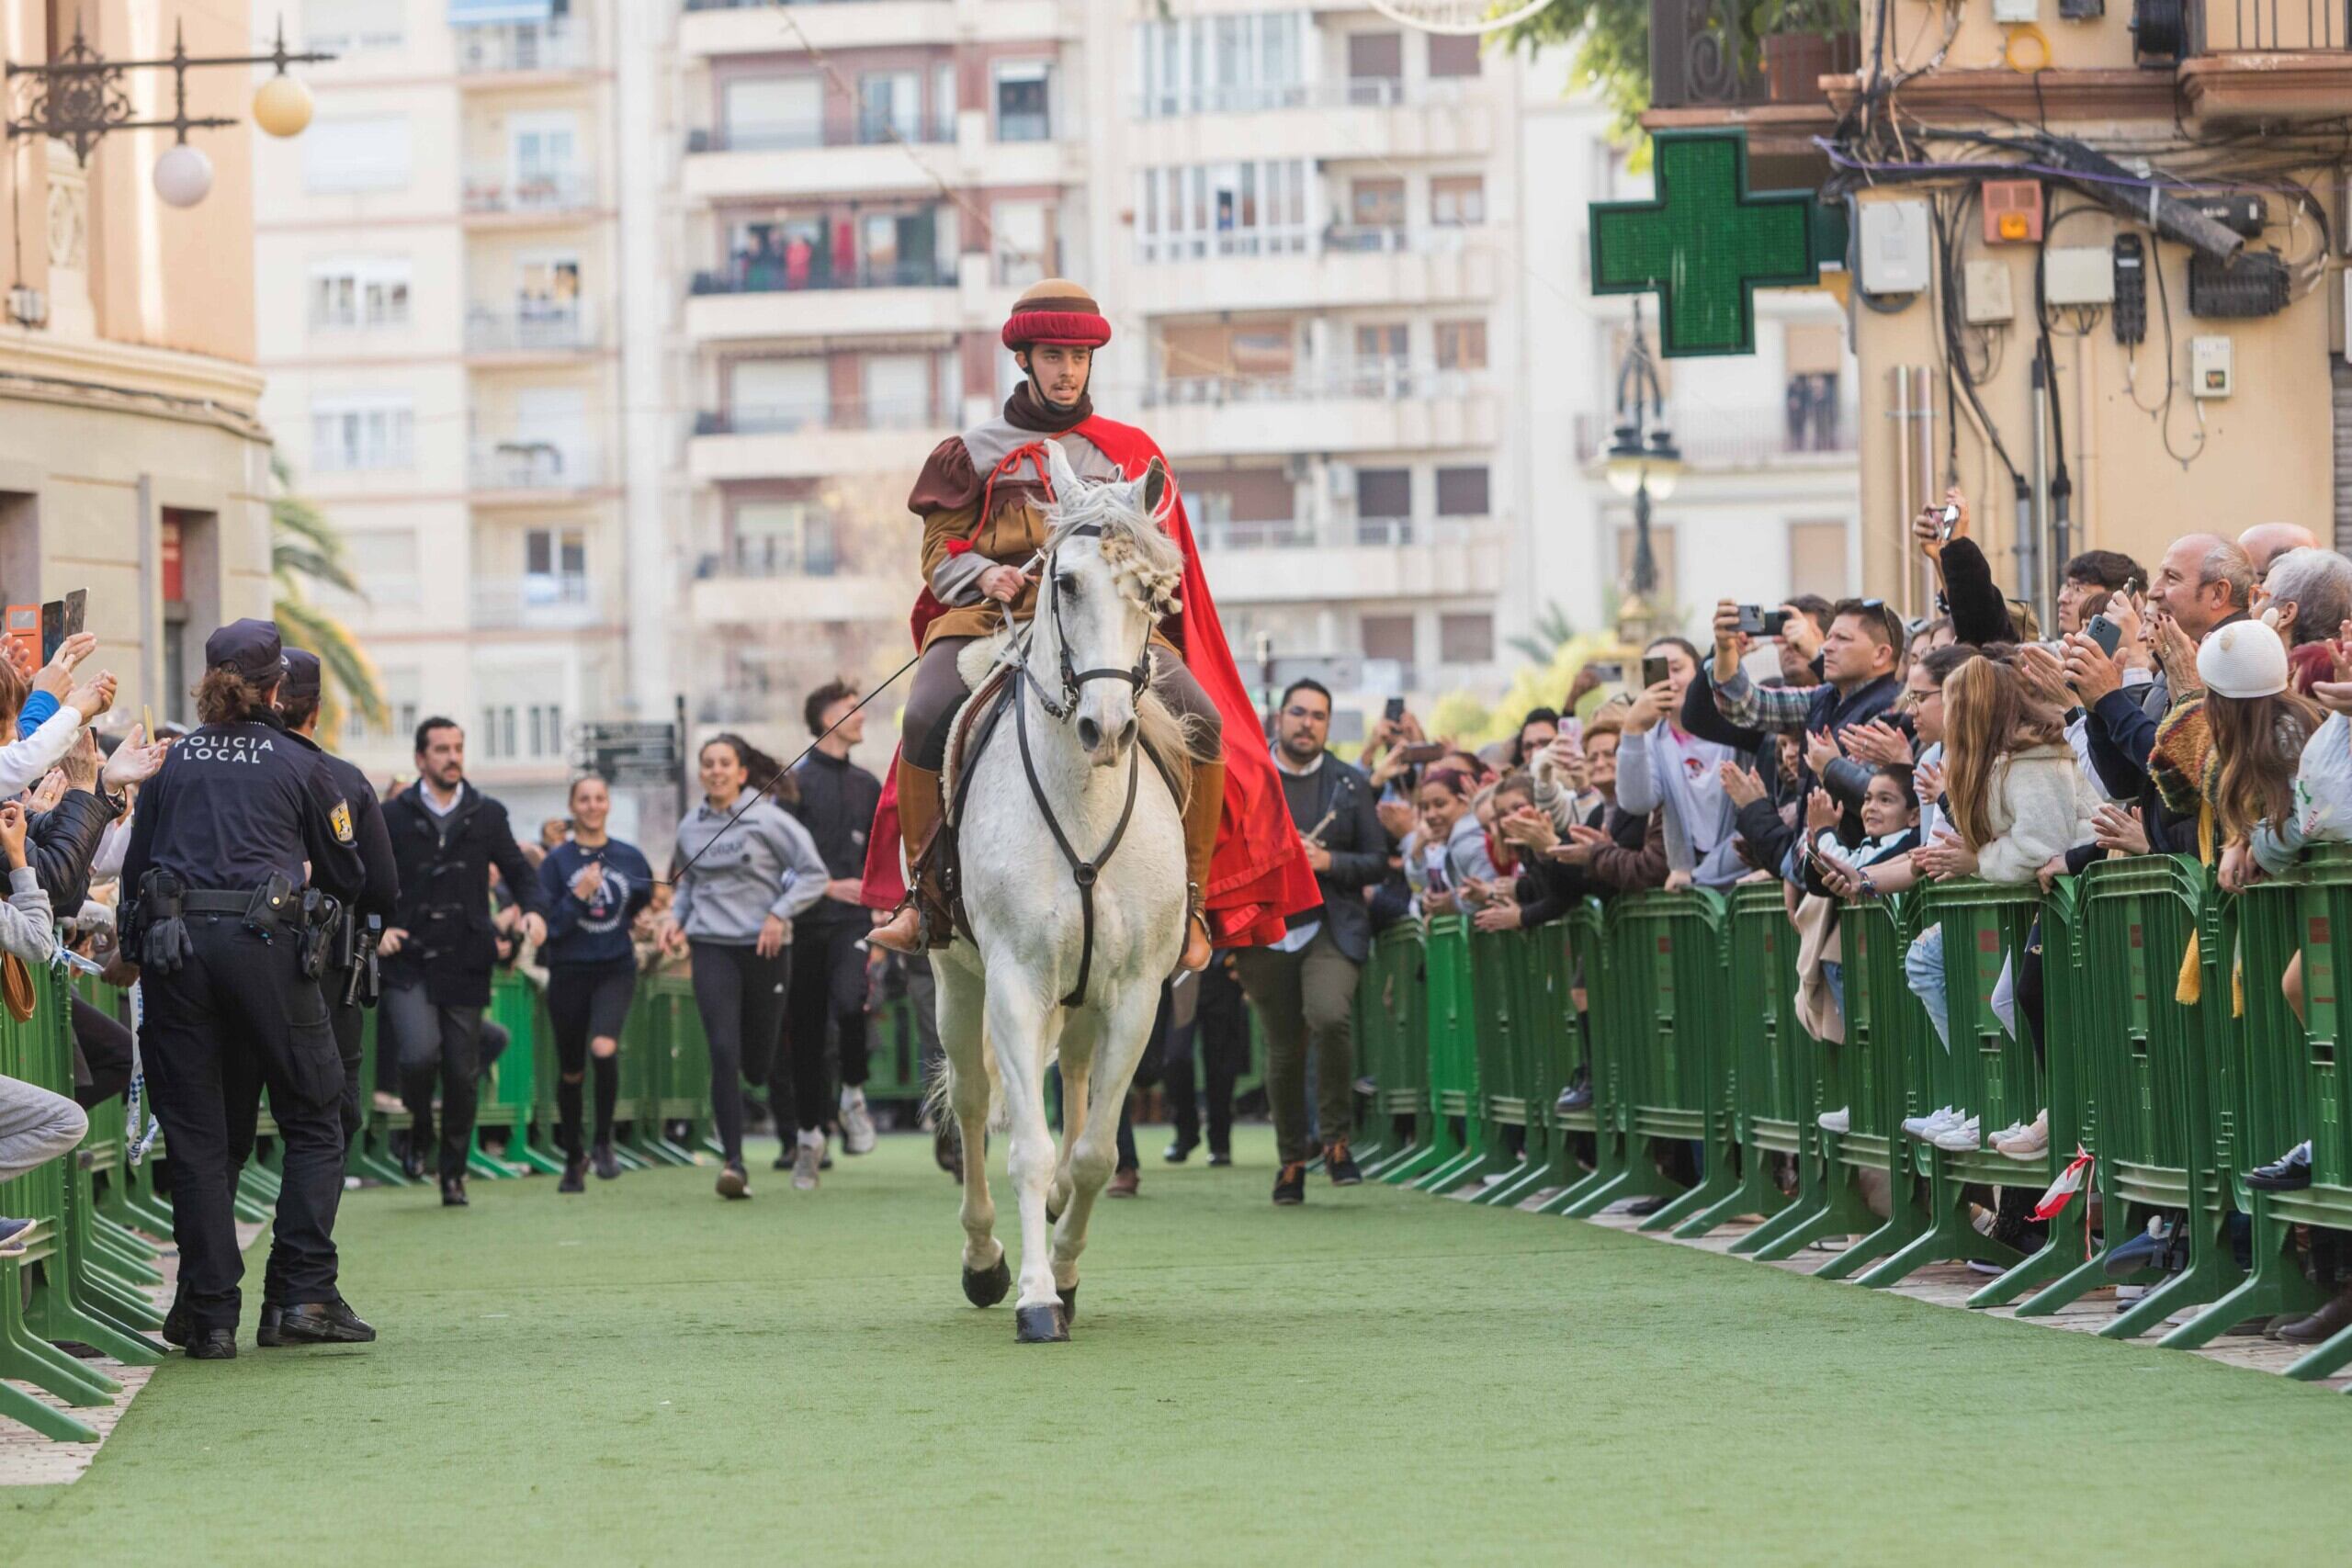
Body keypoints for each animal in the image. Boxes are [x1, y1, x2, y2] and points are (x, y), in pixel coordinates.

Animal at [929, 438, 1208, 1343]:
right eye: (1067, 582)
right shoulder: (1015, 981)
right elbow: (1029, 1145)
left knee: (1080, 1089)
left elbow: (1092, 1153)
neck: (1081, 804)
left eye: (1152, 591)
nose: (1108, 727)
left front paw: (1068, 1267)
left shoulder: (1138, 992)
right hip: (956, 979)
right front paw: (1035, 1295)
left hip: (1087, 996)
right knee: (975, 1103)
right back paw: (985, 1258)